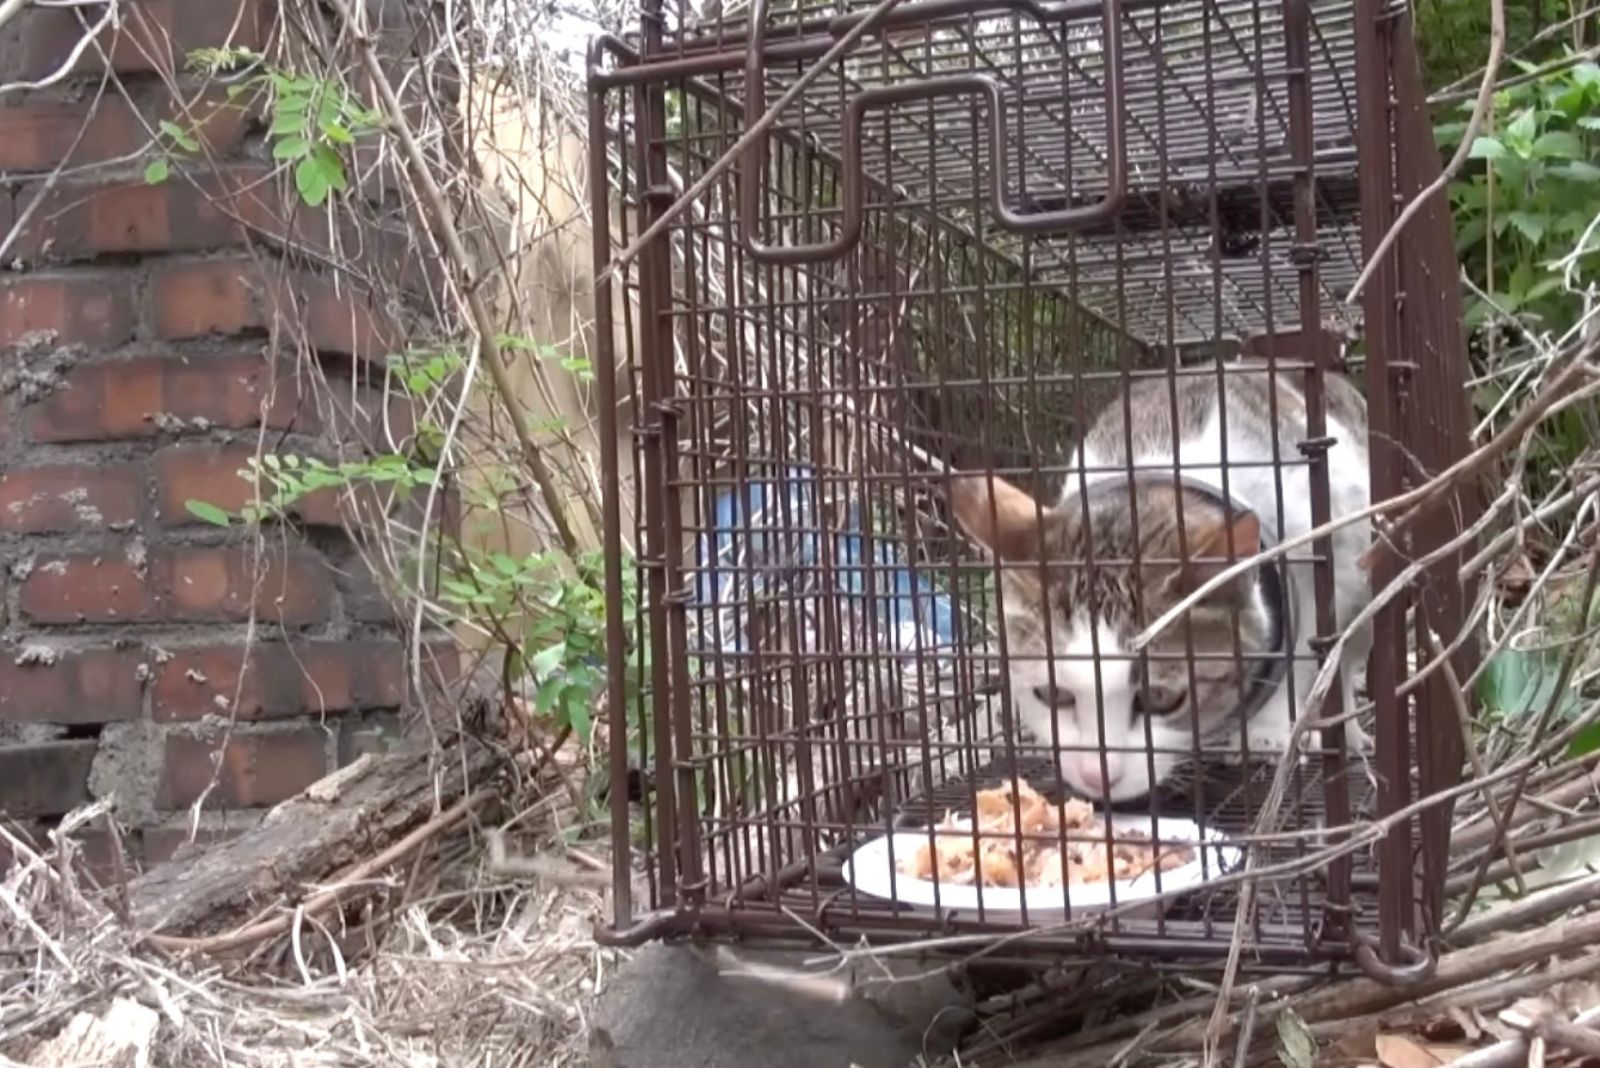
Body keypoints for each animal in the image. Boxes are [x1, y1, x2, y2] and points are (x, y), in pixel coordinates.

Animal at [947, 364, 1376, 799]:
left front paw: (1266, 732)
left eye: (1160, 698)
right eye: (1052, 694)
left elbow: (1304, 651)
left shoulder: (1325, 554)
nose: (1097, 776)